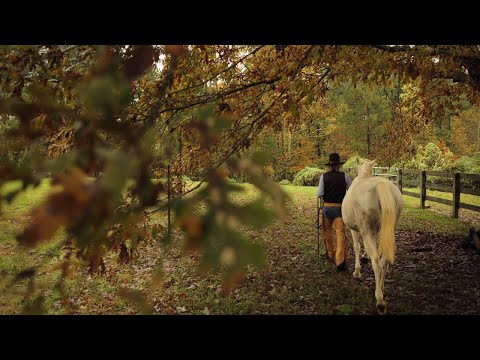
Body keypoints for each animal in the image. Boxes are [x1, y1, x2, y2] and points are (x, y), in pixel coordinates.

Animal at [344, 161, 404, 316]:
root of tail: (380, 185)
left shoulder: (355, 230)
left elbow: (357, 247)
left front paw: (357, 271)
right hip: (389, 231)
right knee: (384, 261)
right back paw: (381, 289)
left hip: (367, 231)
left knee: (377, 263)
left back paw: (380, 301)